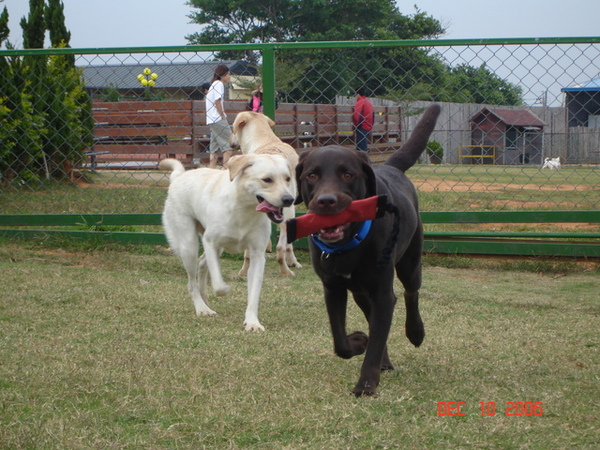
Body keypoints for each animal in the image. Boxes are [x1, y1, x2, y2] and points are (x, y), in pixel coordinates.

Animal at [159, 155, 296, 330]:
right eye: (267, 179)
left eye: (287, 178)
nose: (289, 199)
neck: (244, 209)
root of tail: (179, 177)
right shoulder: (210, 242)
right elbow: (218, 285)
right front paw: (224, 289)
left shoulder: (257, 254)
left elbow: (254, 293)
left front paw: (252, 322)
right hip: (189, 246)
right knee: (192, 282)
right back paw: (202, 308)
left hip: (216, 249)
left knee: (202, 263)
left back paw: (204, 297)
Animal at [232, 110, 302, 276]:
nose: (231, 141)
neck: (265, 141)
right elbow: (288, 245)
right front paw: (293, 262)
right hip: (288, 213)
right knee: (281, 248)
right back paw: (285, 271)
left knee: (248, 253)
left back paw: (243, 272)